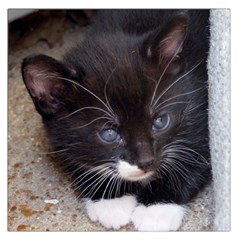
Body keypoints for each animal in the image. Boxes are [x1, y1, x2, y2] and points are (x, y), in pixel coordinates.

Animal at [21, 9, 211, 231]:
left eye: (160, 121)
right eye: (109, 134)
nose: (146, 161)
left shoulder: (200, 104)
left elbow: (196, 157)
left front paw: (157, 210)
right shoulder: (59, 137)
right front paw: (110, 201)